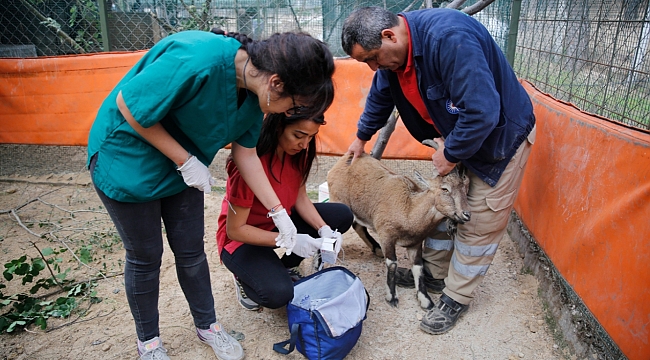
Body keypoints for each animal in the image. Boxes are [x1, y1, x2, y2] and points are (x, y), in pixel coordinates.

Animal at [326, 143, 468, 310]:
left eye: (465, 187)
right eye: (444, 189)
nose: (466, 214)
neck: (409, 209)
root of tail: (344, 159)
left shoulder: (415, 243)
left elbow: (418, 267)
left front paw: (425, 300)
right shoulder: (387, 235)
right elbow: (392, 263)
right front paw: (392, 297)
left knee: (358, 226)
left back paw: (377, 249)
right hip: (338, 200)